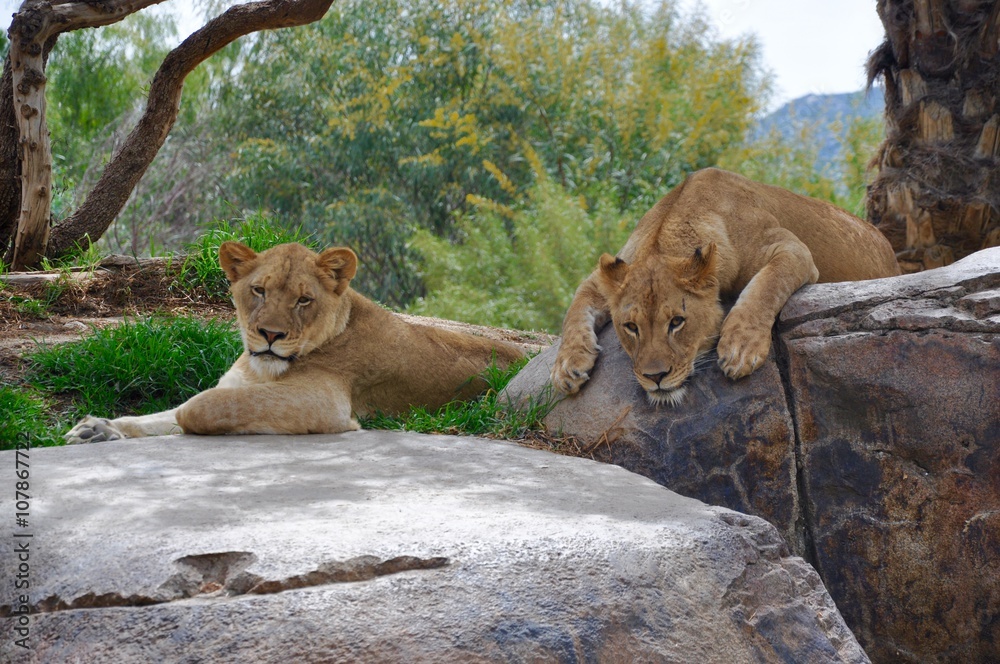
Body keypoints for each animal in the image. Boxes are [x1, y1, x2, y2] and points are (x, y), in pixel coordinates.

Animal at [65, 241, 525, 442]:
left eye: (304, 300)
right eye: (259, 291)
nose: (270, 335)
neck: (260, 368)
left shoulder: (324, 402)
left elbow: (195, 408)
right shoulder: (239, 385)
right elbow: (164, 413)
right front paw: (100, 428)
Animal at [551, 168, 900, 405]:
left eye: (677, 322)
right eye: (631, 327)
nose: (655, 378)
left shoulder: (793, 249)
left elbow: (767, 285)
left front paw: (740, 347)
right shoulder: (605, 276)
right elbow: (574, 308)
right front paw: (567, 366)